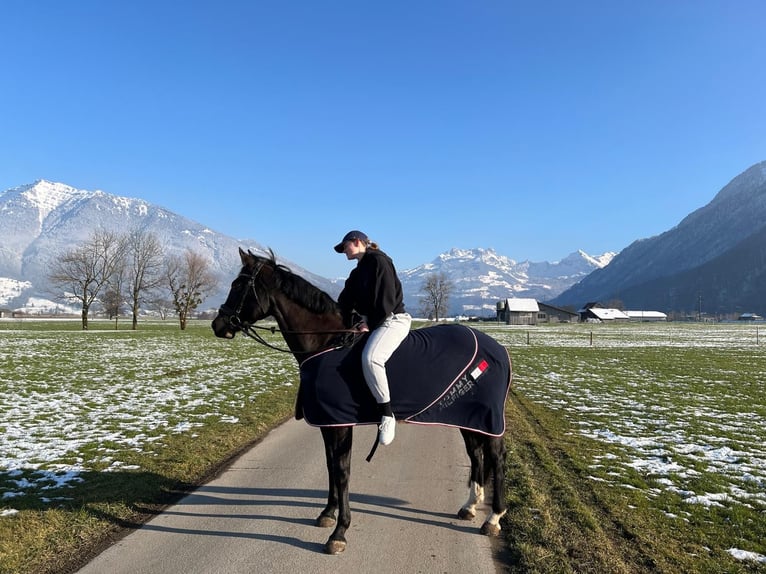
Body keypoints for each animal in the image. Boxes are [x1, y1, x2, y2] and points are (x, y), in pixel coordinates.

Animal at [211, 248, 511, 555]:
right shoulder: (328, 423)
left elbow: (342, 471)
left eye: (238, 285)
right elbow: (330, 466)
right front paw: (328, 513)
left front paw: (339, 532)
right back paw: (470, 506)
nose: (218, 324)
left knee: (496, 457)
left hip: (487, 419)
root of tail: (498, 348)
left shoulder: (341, 424)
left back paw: (493, 517)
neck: (328, 342)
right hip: (467, 418)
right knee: (475, 454)